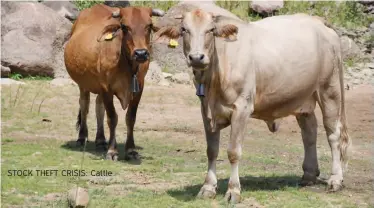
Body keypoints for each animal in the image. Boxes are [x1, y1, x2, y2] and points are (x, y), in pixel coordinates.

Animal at [65, 5, 164, 161]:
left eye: (149, 25)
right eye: (124, 26)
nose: (141, 53)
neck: (127, 64)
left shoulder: (139, 89)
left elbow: (130, 118)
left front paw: (131, 150)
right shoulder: (106, 88)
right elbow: (112, 117)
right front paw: (112, 151)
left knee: (98, 107)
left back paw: (100, 140)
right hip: (83, 85)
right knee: (85, 106)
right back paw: (82, 138)